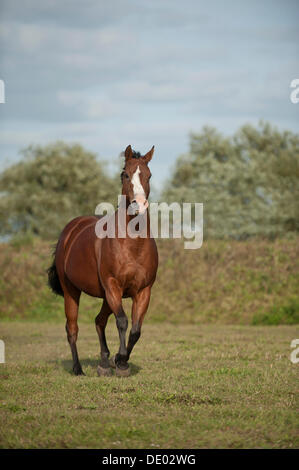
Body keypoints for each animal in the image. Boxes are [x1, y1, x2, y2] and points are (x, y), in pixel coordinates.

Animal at [47, 145, 159, 376]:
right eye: (125, 174)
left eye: (149, 175)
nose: (138, 205)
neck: (132, 245)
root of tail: (70, 231)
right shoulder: (113, 286)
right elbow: (123, 322)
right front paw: (122, 362)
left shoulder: (143, 291)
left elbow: (136, 330)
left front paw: (119, 360)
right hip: (72, 290)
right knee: (72, 328)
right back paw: (78, 369)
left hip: (106, 297)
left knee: (99, 321)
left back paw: (104, 364)